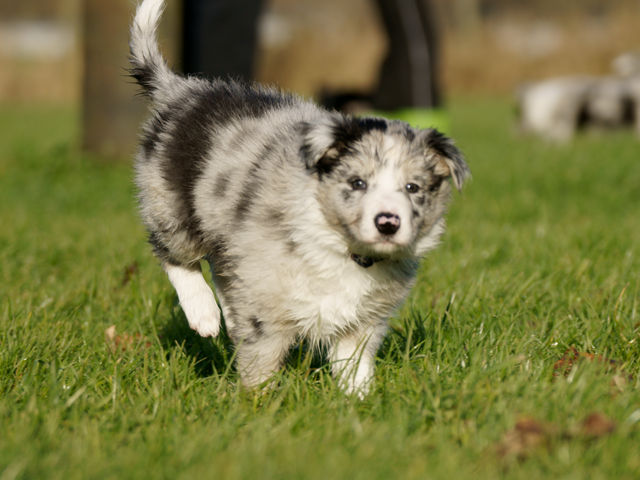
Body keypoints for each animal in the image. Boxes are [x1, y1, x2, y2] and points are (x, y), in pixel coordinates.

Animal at [129, 0, 469, 396]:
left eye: (413, 188)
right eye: (357, 183)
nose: (387, 222)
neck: (346, 251)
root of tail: (181, 90)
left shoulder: (363, 319)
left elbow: (354, 364)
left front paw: (361, 401)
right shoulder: (264, 290)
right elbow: (261, 354)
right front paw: (256, 398)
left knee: (221, 266)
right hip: (170, 201)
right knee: (172, 252)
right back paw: (205, 313)